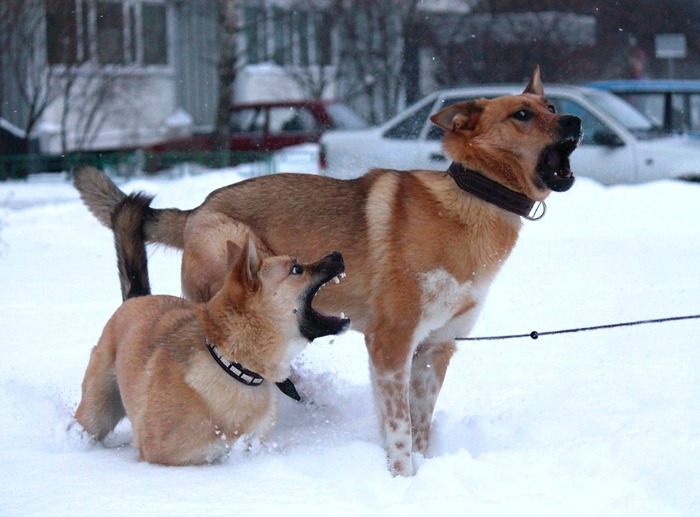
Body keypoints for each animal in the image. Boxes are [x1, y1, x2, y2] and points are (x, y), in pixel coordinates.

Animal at [75, 191, 348, 466]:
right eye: (296, 269)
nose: (338, 254)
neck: (233, 365)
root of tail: (136, 299)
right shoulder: (163, 458)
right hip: (97, 410)